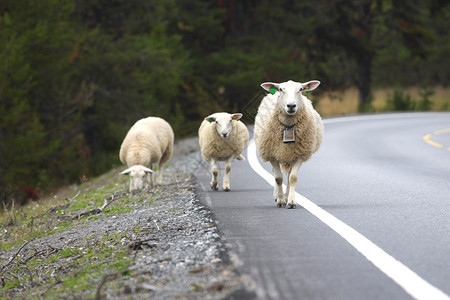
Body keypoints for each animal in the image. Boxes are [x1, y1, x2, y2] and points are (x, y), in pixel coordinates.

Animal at [253, 79, 324, 209]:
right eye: (281, 89)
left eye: (300, 89)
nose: (291, 106)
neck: (288, 127)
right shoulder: (272, 155)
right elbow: (278, 178)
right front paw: (280, 200)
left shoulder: (300, 155)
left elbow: (292, 178)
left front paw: (290, 201)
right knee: (275, 173)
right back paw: (277, 196)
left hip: (291, 155)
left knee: (289, 176)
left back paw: (286, 196)